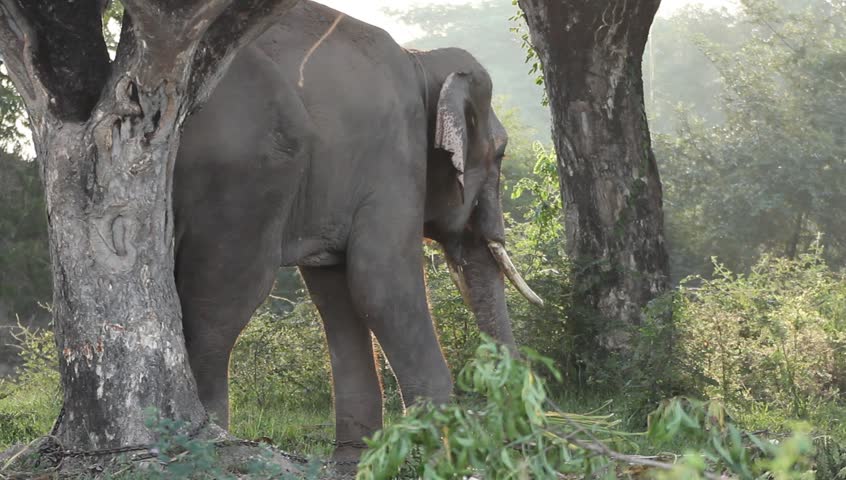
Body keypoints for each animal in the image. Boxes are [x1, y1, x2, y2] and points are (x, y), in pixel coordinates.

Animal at [173, 0, 544, 464]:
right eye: (502, 153)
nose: (520, 449)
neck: (421, 60)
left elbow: (338, 296)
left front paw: (354, 461)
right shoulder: (393, 161)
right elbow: (381, 286)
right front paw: (437, 456)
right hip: (246, 173)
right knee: (219, 303)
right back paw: (209, 444)